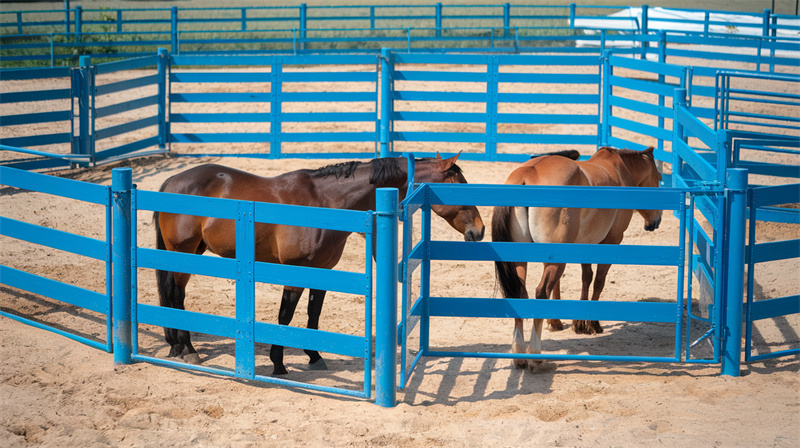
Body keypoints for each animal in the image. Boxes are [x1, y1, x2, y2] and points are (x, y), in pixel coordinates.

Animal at [153, 154, 484, 374]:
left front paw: (314, 356)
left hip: (192, 251)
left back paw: (175, 345)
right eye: (460, 186)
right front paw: (278, 363)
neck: (325, 203)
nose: (479, 231)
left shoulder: (323, 271)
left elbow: (314, 315)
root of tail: (171, 182)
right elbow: (285, 317)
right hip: (183, 252)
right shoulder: (295, 271)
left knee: (173, 294)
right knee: (176, 295)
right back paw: (188, 349)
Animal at [494, 147, 664, 372]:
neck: (621, 170)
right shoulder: (611, 242)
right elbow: (598, 281)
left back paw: (519, 353)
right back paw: (535, 353)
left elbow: (585, 277)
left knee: (520, 293)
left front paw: (573, 323)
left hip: (521, 260)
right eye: (659, 178)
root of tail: (526, 174)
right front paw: (592, 323)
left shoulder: (585, 244)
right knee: (541, 292)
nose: (655, 221)